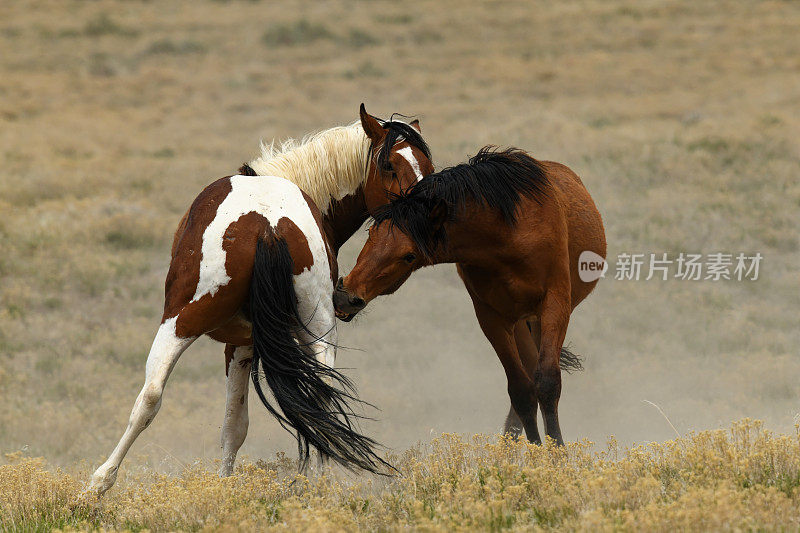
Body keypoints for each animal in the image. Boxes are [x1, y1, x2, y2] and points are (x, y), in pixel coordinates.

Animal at [85, 104, 434, 494]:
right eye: (390, 165)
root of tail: (268, 227)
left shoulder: (238, 345)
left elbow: (230, 425)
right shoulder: (254, 341)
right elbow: (239, 425)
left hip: (179, 322)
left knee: (149, 396)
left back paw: (96, 486)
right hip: (319, 330)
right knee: (324, 402)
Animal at [332, 145, 608, 444]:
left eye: (409, 256)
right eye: (371, 231)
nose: (345, 295)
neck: (510, 233)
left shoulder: (554, 305)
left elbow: (546, 383)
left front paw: (556, 452)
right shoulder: (492, 317)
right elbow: (521, 391)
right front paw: (529, 452)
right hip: (520, 322)